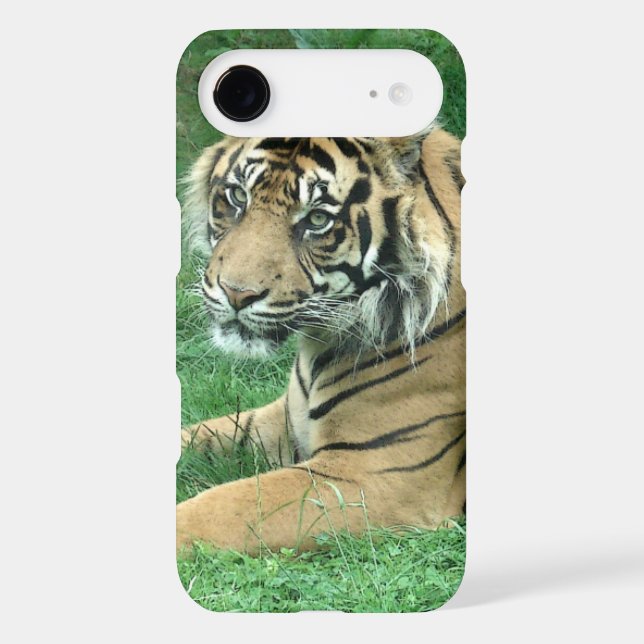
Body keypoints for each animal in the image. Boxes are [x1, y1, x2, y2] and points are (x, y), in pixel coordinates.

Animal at [177, 127, 465, 555]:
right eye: (239, 197)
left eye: (317, 219)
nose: (236, 294)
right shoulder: (278, 422)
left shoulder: (370, 474)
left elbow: (221, 508)